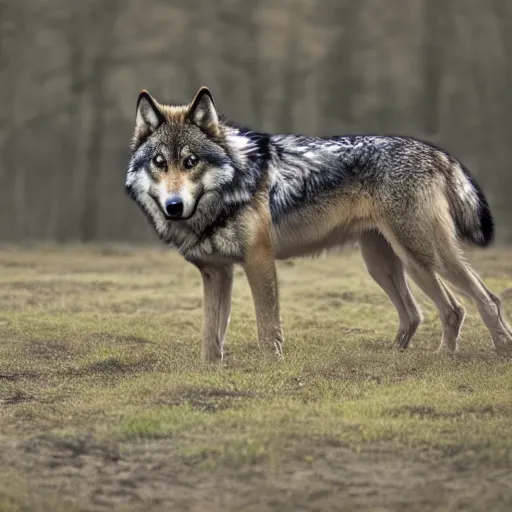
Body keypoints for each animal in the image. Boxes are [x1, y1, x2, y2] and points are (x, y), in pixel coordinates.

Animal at [125, 86, 512, 362]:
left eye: (191, 162)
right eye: (160, 163)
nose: (174, 206)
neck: (230, 188)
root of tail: (436, 152)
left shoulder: (258, 261)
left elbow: (267, 328)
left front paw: (272, 367)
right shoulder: (216, 272)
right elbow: (211, 335)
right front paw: (211, 370)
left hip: (421, 256)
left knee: (476, 302)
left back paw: (474, 354)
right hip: (387, 264)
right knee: (420, 313)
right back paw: (401, 356)